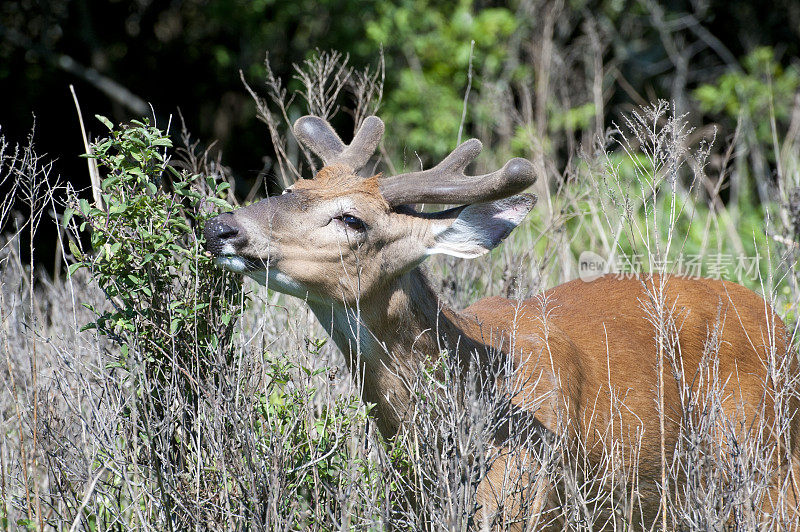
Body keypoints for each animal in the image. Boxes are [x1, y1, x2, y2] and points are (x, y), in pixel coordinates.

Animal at [206, 115, 800, 528]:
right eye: (291, 189)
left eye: (352, 218)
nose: (221, 226)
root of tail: (781, 326)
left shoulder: (525, 500)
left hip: (767, 467)